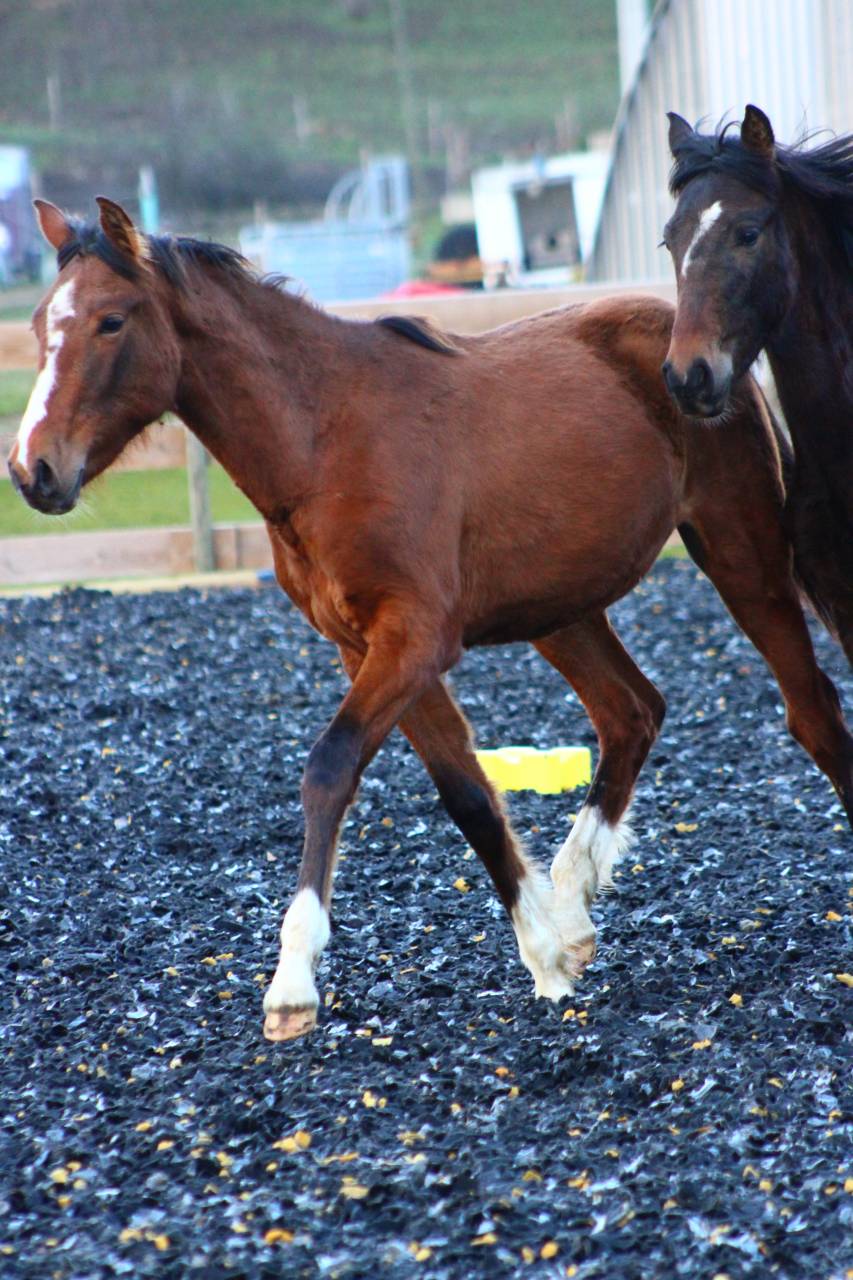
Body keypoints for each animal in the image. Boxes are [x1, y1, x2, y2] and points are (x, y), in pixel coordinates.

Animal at [7, 197, 853, 1043]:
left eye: (111, 322)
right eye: (42, 322)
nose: (32, 470)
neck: (325, 441)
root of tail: (696, 349)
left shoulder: (413, 640)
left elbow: (330, 768)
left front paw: (292, 985)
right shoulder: (363, 648)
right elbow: (466, 793)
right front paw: (547, 955)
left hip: (739, 553)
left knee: (807, 707)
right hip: (559, 607)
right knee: (632, 711)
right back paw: (574, 902)